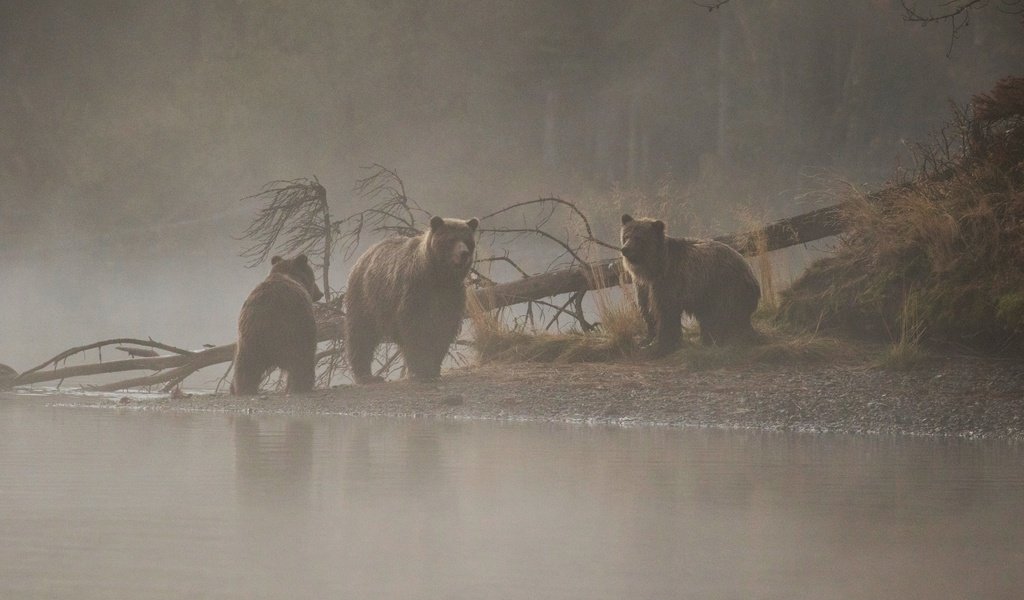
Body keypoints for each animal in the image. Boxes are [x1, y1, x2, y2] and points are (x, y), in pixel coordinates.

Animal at [232, 250, 323, 393]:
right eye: (313, 278)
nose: (320, 293)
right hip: (292, 329)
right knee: (302, 361)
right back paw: (301, 386)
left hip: (249, 338)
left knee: (245, 367)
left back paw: (243, 389)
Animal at [346, 215, 477, 382]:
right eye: (451, 239)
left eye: (467, 240)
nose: (464, 253)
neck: (439, 276)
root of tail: (364, 255)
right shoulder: (415, 289)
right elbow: (414, 328)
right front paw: (421, 369)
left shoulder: (451, 295)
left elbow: (444, 328)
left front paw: (433, 368)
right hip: (365, 297)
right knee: (361, 333)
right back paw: (366, 375)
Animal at [618, 215, 757, 354]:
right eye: (626, 236)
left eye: (639, 237)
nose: (625, 249)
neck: (653, 268)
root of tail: (749, 270)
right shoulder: (643, 286)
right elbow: (647, 309)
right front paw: (647, 340)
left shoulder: (669, 282)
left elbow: (666, 312)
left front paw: (663, 346)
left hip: (724, 287)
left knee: (723, 316)